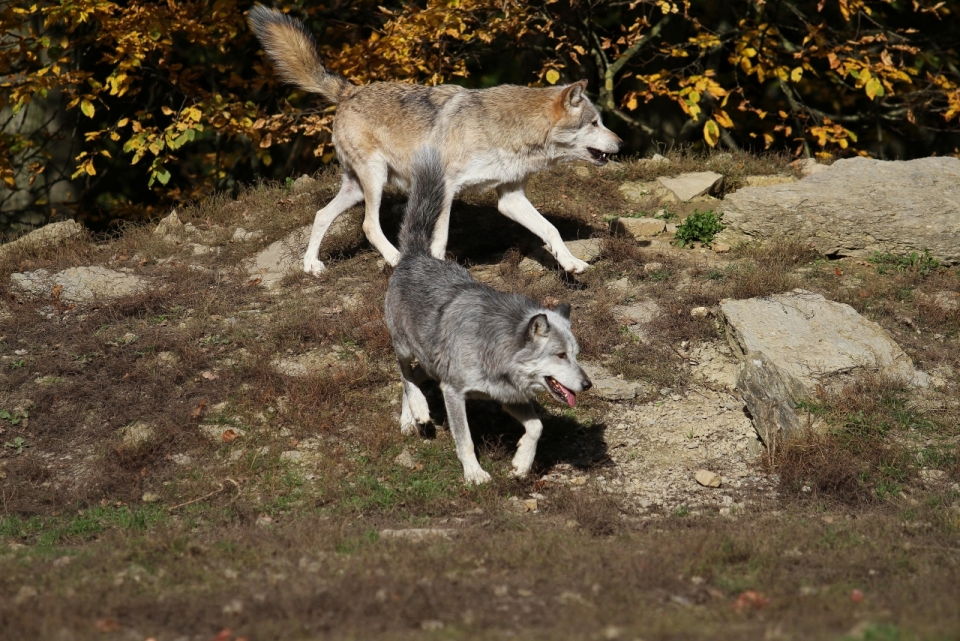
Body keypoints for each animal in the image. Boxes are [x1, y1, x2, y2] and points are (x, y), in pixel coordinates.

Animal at [248, 5, 624, 276]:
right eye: (594, 123)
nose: (621, 144)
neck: (508, 129)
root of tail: (350, 90)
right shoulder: (446, 187)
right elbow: (439, 240)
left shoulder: (511, 197)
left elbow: (551, 231)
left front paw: (573, 264)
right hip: (375, 179)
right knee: (369, 225)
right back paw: (395, 259)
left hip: (356, 187)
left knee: (321, 215)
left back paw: (311, 266)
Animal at [384, 146, 592, 484]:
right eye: (560, 355)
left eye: (576, 355)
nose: (588, 385)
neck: (495, 347)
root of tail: (418, 255)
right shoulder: (453, 391)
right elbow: (465, 440)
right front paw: (474, 474)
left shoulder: (504, 396)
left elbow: (537, 426)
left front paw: (521, 464)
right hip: (405, 348)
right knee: (404, 373)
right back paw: (419, 411)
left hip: (431, 364)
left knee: (412, 377)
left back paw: (410, 418)